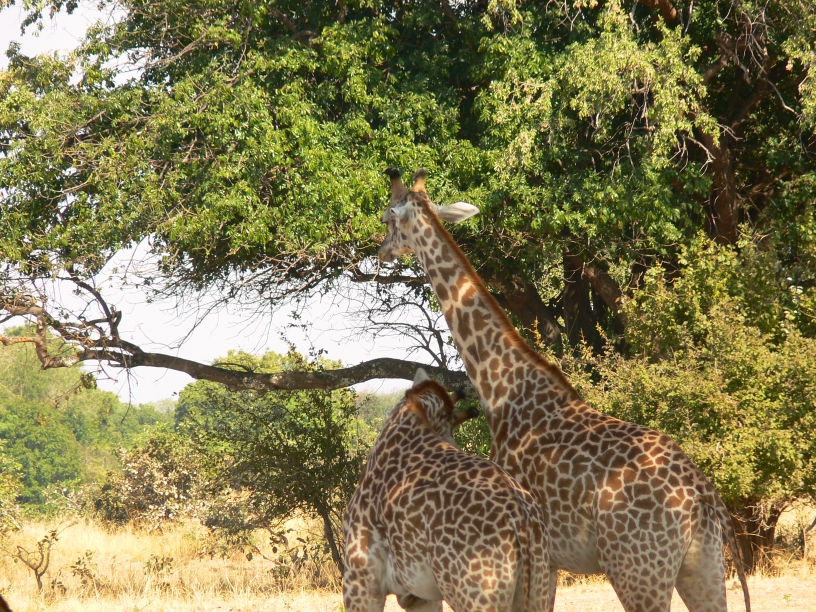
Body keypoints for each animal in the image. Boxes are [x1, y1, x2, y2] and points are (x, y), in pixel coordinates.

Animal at [376, 168, 751, 612]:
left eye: (386, 217)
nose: (380, 252)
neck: (500, 388)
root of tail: (704, 495)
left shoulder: (547, 556)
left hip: (639, 572)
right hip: (702, 567)